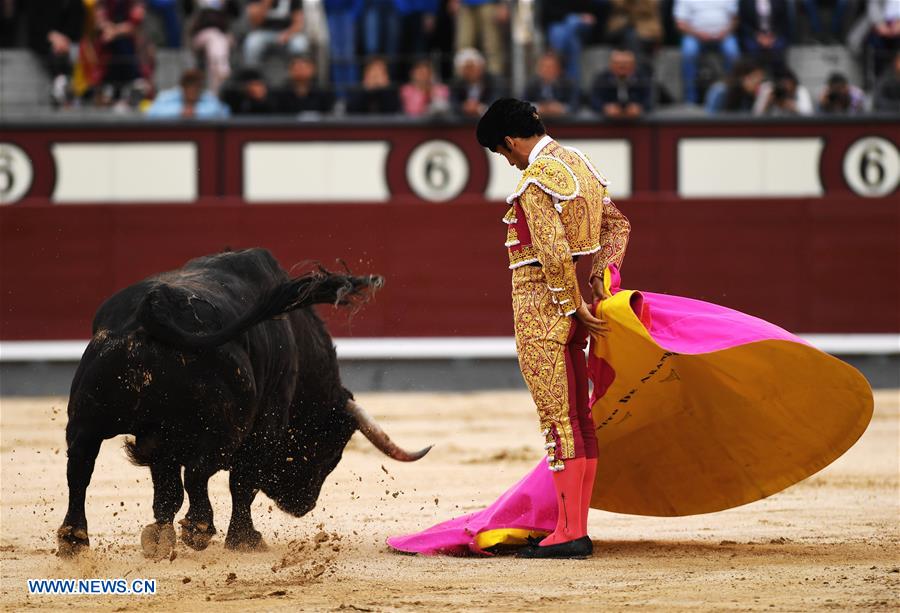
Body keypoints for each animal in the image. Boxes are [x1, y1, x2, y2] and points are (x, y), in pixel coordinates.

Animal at [58, 246, 430, 556]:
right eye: (332, 452)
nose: (304, 505)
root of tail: (156, 308)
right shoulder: (267, 421)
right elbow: (242, 482)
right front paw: (245, 539)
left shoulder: (158, 439)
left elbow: (166, 490)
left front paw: (159, 538)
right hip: (227, 427)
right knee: (200, 471)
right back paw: (199, 528)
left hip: (87, 419)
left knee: (80, 468)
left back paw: (74, 539)